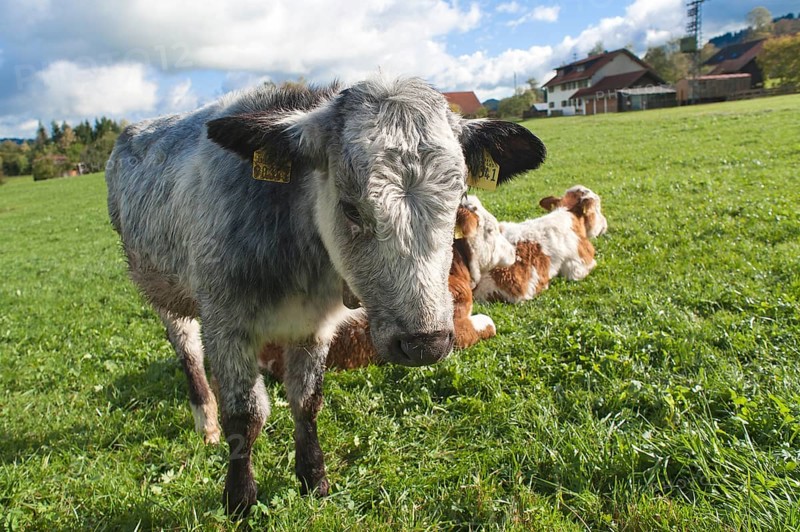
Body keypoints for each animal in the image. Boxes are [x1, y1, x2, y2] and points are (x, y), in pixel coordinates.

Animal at [105, 76, 546, 515]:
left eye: (456, 208)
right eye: (351, 209)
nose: (425, 343)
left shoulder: (314, 328)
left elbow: (306, 400)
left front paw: (313, 478)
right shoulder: (226, 324)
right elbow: (246, 414)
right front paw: (239, 498)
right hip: (164, 295)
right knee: (189, 353)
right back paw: (206, 423)